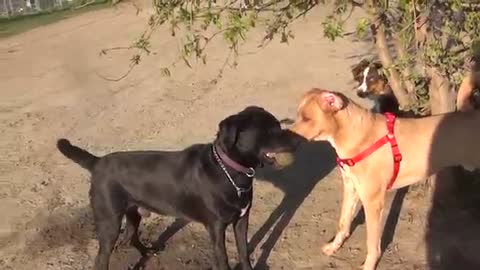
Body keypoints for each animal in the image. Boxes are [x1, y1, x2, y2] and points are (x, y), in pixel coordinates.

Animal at [56, 106, 304, 270]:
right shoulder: (216, 229)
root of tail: (97, 162)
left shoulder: (242, 219)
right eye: (268, 130)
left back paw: (147, 252)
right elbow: (223, 260)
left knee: (130, 236)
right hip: (109, 222)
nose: (299, 141)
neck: (230, 172)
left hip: (133, 212)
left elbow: (244, 251)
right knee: (102, 258)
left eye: (278, 125)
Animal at [286, 88, 480, 270]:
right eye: (298, 115)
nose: (287, 139)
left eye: (307, 118)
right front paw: (334, 246)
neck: (357, 135)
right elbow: (343, 222)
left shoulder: (373, 202)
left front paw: (369, 265)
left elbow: (372, 244)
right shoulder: (350, 188)